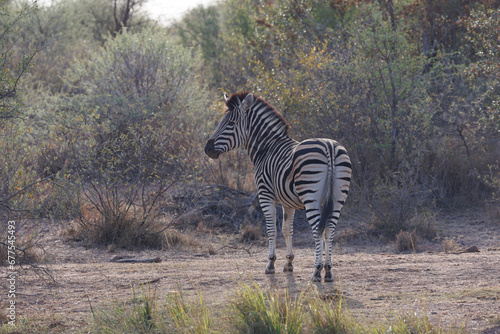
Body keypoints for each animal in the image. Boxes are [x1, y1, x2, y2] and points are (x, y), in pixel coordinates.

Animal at [204, 92, 352, 282]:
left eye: (230, 123)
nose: (207, 149)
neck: (266, 148)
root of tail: (329, 147)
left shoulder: (265, 195)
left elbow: (271, 229)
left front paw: (271, 264)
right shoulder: (288, 202)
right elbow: (287, 230)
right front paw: (288, 263)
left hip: (311, 195)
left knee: (318, 230)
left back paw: (317, 271)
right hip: (338, 197)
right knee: (330, 229)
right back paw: (328, 271)